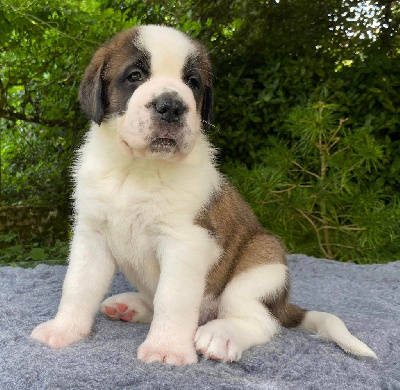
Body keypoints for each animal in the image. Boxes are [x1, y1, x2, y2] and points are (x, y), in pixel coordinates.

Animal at [30, 25, 376, 366]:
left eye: (193, 83)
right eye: (135, 76)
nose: (171, 106)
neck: (137, 169)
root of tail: (284, 304)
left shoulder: (186, 242)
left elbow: (173, 297)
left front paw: (166, 348)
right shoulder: (92, 234)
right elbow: (78, 286)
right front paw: (64, 329)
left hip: (261, 263)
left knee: (262, 321)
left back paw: (222, 334)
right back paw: (132, 306)